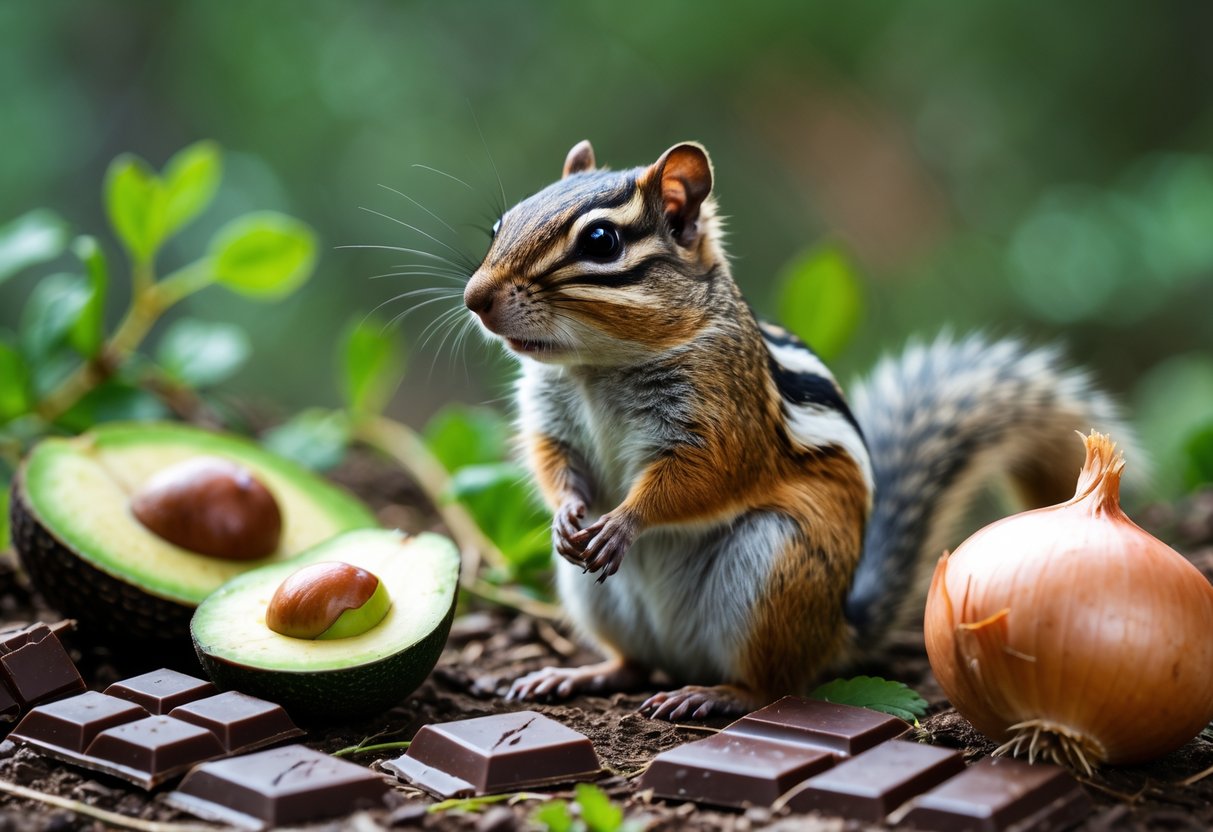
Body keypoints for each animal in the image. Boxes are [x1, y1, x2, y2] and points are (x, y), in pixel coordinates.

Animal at [462, 140, 1131, 721]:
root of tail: (837, 630)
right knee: (633, 664)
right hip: (595, 599)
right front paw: (567, 514)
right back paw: (578, 673)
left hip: (772, 568)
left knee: (773, 684)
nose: (475, 298)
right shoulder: (552, 417)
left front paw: (623, 522)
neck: (597, 367)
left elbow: (702, 476)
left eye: (601, 241)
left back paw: (713, 694)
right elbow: (555, 462)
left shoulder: (724, 418)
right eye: (500, 224)